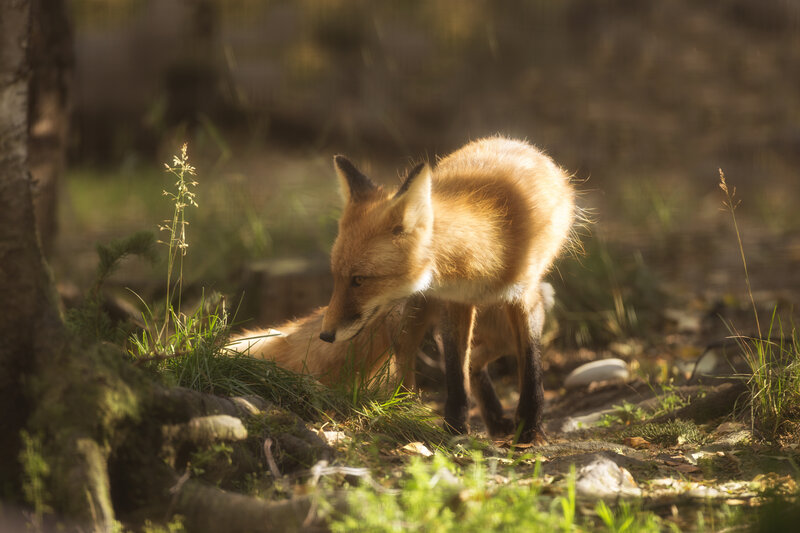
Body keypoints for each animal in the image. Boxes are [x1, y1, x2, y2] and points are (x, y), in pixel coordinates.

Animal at [319, 136, 575, 443]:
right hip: (424, 308)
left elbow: (531, 366)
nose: (325, 335)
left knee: (478, 359)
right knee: (409, 351)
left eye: (358, 280)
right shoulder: (455, 301)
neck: (493, 241)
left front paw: (531, 430)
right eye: (336, 278)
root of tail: (512, 140)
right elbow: (454, 373)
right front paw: (454, 428)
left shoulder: (526, 297)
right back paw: (406, 409)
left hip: (518, 313)